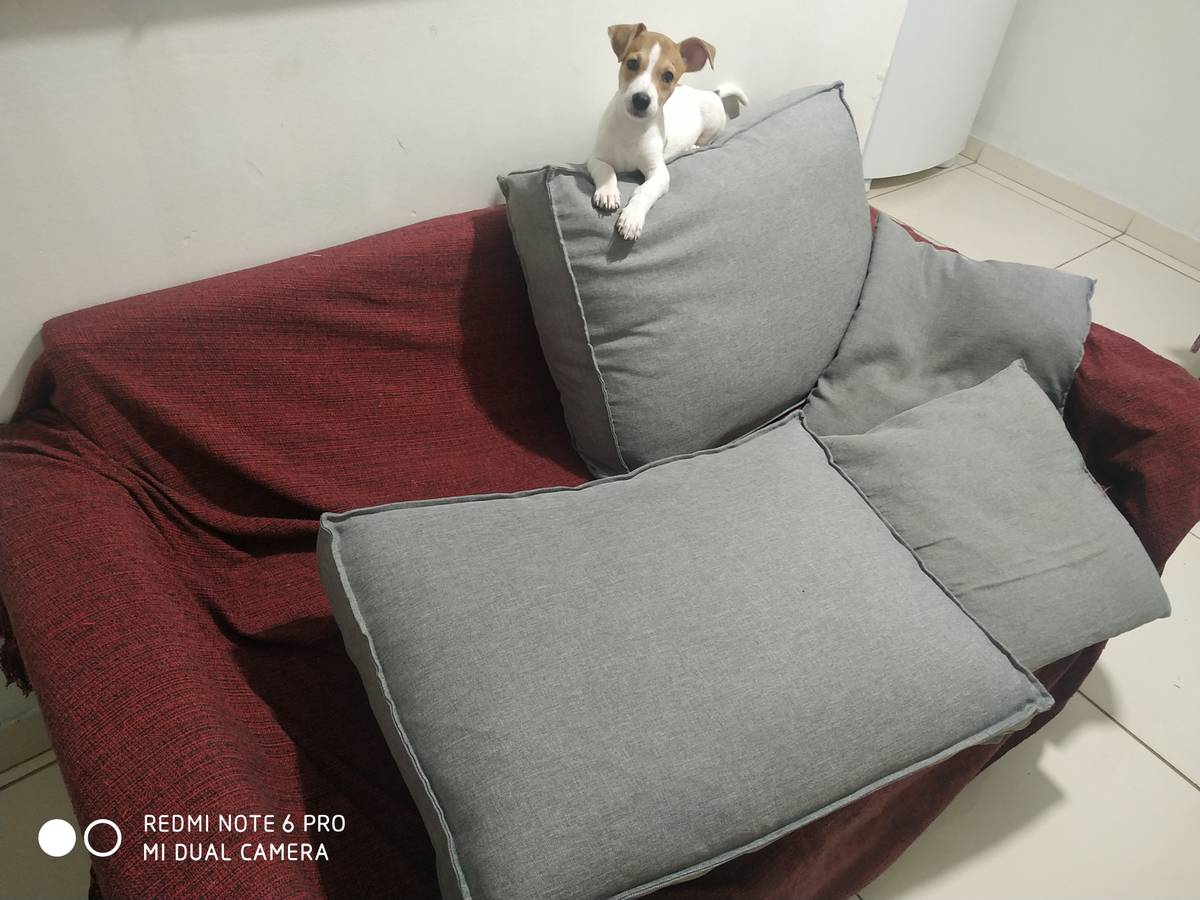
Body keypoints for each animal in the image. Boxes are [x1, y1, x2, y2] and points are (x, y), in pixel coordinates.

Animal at [588, 23, 747, 241]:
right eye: (632, 63)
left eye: (668, 76)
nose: (641, 100)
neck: (632, 128)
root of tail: (712, 93)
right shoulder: (595, 158)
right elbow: (606, 170)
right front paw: (607, 193)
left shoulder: (659, 172)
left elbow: (645, 191)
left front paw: (632, 218)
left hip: (712, 124)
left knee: (705, 140)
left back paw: (693, 146)